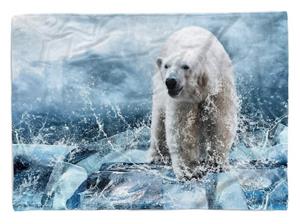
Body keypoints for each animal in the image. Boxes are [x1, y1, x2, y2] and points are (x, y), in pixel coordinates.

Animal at [149, 26, 238, 180]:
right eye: (166, 66)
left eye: (185, 66)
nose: (170, 81)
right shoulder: (182, 99)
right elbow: (182, 129)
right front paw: (189, 171)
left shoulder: (220, 86)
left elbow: (221, 121)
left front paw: (217, 163)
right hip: (159, 89)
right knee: (159, 121)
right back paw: (157, 156)